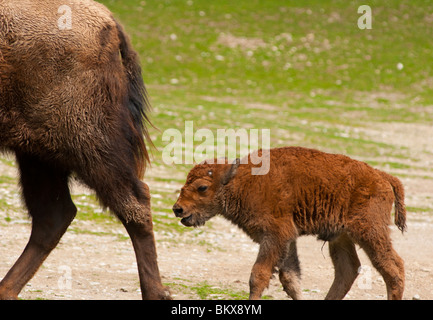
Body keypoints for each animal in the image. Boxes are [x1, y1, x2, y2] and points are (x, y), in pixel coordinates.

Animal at [0, 0, 169, 300]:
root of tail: (108, 22)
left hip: (87, 146)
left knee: (135, 204)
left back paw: (156, 293)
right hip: (37, 154)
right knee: (53, 215)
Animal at [172, 148, 404, 300]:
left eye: (202, 187)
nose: (178, 209)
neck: (241, 180)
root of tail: (382, 176)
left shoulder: (275, 236)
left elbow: (258, 275)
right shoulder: (287, 240)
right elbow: (290, 279)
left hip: (370, 231)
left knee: (392, 268)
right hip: (341, 237)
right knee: (347, 270)